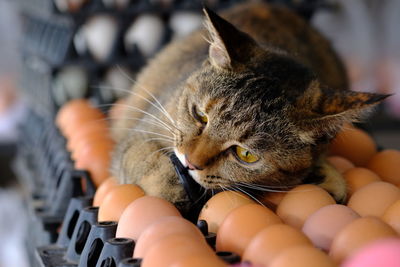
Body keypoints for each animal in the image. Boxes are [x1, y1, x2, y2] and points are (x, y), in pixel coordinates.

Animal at [110, 1, 388, 213]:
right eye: (200, 116)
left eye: (246, 155)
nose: (190, 162)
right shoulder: (140, 132)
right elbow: (141, 155)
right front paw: (170, 184)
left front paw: (325, 177)